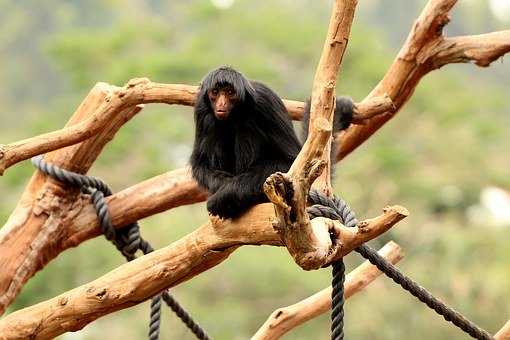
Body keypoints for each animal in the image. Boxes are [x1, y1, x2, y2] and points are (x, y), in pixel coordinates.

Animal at [189, 66, 352, 218]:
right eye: (215, 92)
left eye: (230, 93)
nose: (221, 104)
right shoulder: (201, 109)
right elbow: (200, 165)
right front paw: (222, 187)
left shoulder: (265, 100)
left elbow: (288, 162)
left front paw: (224, 196)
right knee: (213, 122)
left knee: (247, 124)